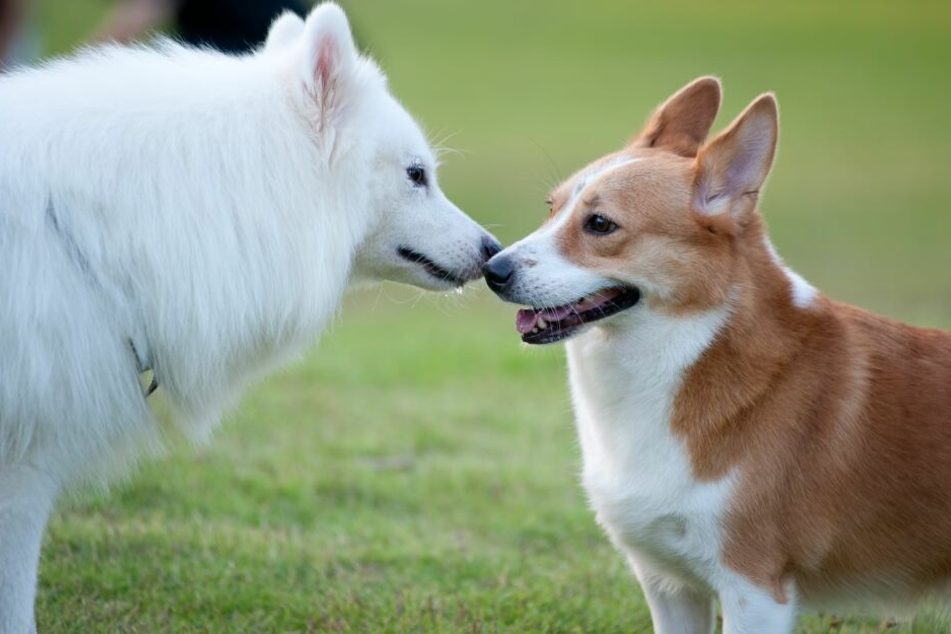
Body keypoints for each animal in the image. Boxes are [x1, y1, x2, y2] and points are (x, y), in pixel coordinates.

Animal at [484, 76, 951, 628]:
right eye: (551, 208)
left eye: (599, 224)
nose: (491, 270)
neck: (687, 352)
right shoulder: (669, 585)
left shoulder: (754, 588)